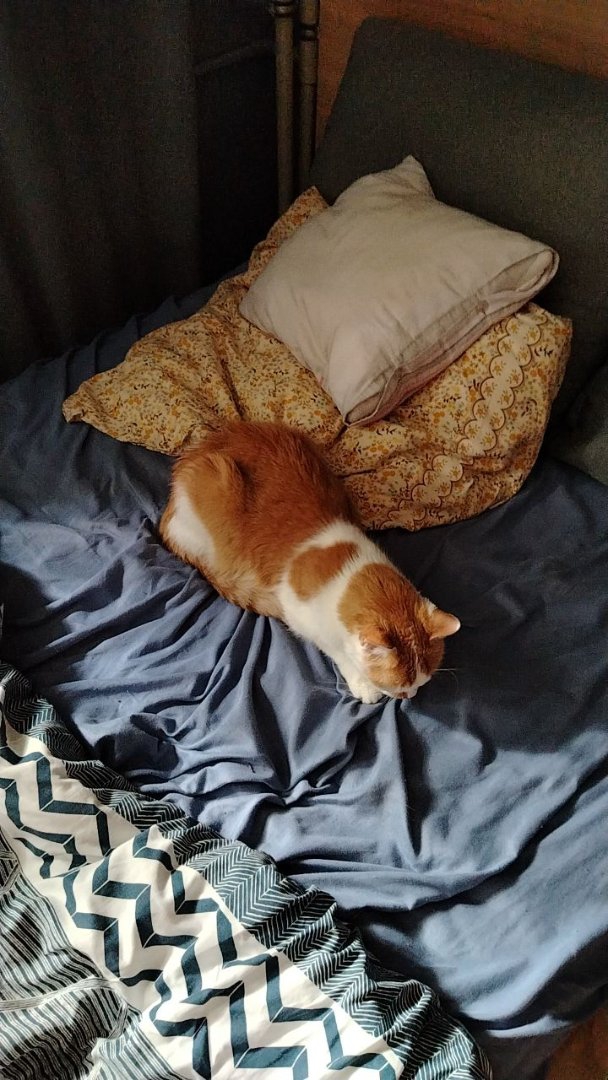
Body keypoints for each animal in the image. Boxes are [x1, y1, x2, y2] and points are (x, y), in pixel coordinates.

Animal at [159, 421, 459, 703]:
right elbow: (336, 649)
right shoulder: (299, 614)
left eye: (421, 684)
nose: (411, 697)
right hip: (218, 479)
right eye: (398, 688)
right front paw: (362, 684)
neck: (345, 568)